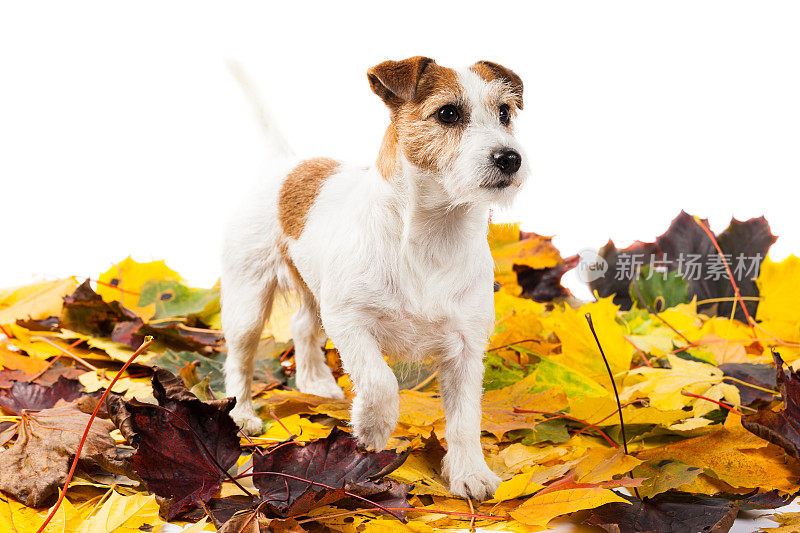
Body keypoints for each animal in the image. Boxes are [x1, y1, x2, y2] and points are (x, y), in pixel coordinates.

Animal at [222, 57, 528, 498]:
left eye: (504, 113)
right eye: (448, 114)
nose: (510, 158)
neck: (433, 238)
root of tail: (286, 164)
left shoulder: (467, 348)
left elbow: (466, 417)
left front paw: (471, 473)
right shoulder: (350, 323)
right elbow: (380, 380)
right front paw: (371, 428)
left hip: (316, 293)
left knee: (301, 326)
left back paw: (316, 385)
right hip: (248, 296)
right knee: (240, 357)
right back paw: (242, 413)